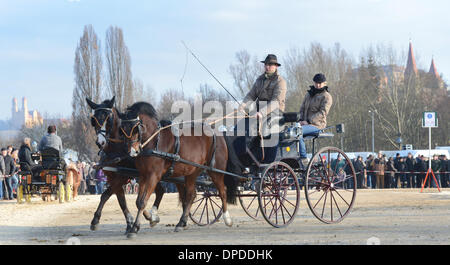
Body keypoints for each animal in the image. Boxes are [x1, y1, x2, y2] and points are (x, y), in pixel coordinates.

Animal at [85, 97, 165, 233]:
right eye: (94, 120)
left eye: (108, 118)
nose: (100, 142)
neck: (116, 149)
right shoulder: (113, 177)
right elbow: (114, 198)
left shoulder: (122, 177)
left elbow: (115, 197)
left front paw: (132, 222)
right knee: (160, 190)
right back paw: (151, 216)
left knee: (161, 190)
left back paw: (152, 216)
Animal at [118, 101, 239, 237]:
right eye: (122, 129)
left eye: (136, 128)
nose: (132, 151)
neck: (155, 142)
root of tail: (216, 132)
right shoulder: (143, 175)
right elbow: (139, 201)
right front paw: (141, 223)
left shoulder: (154, 176)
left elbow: (143, 202)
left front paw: (135, 228)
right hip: (193, 172)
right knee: (191, 195)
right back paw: (181, 223)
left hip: (215, 171)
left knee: (222, 191)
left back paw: (227, 218)